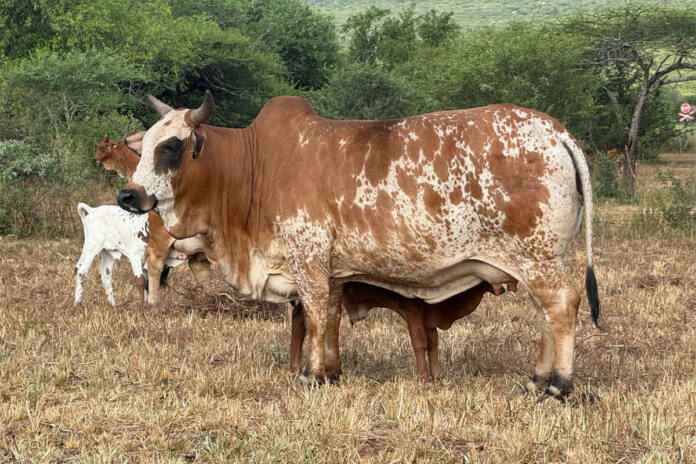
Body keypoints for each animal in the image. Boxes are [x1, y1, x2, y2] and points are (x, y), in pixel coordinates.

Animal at [289, 281, 513, 381]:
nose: (502, 288)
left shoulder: (428, 318)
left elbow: (434, 344)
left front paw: (437, 376)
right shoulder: (412, 309)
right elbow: (420, 342)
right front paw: (424, 378)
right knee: (302, 321)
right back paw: (296, 369)